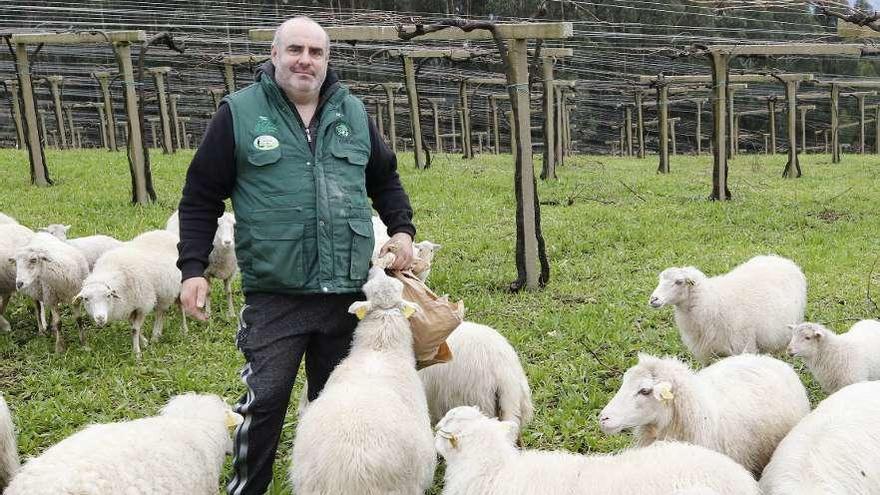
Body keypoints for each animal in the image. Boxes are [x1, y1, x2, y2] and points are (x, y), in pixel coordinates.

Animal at [648, 256, 808, 364]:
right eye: (660, 279)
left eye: (679, 282)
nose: (653, 299)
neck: (710, 302)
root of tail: (781, 259)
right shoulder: (705, 353)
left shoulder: (743, 347)